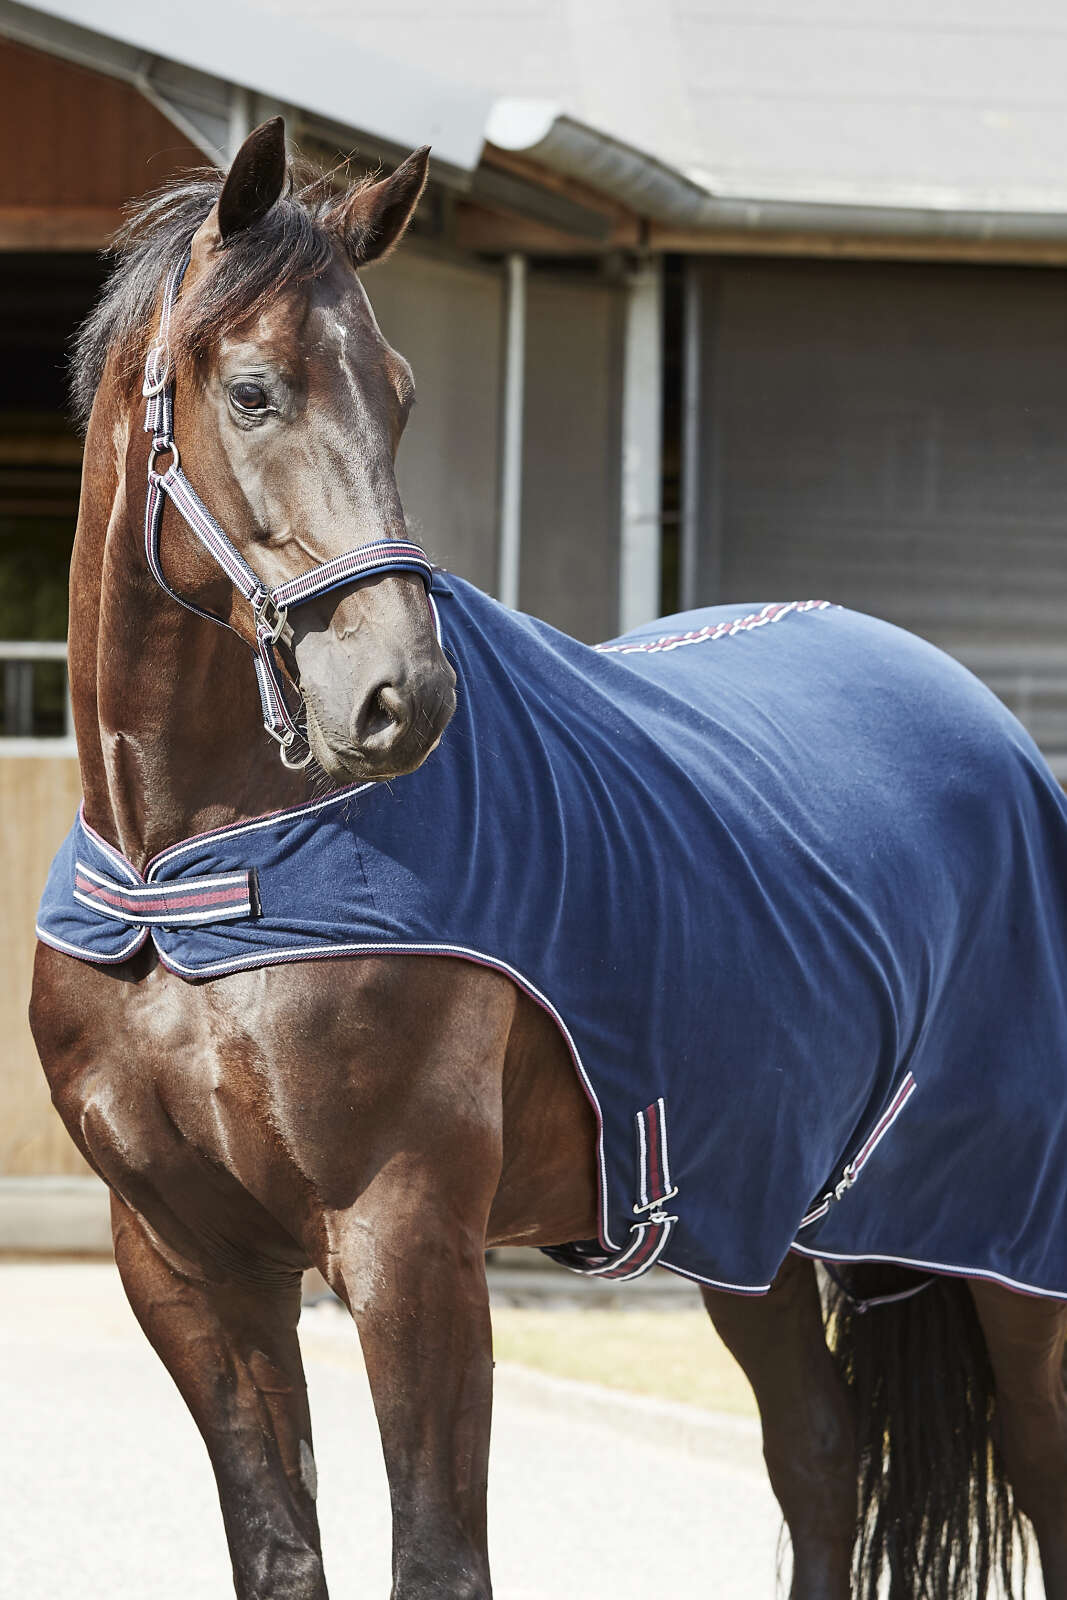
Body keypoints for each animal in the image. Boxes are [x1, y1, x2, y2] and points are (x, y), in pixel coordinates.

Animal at [28, 116, 1067, 1600]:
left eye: (400, 395)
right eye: (252, 391)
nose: (399, 698)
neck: (192, 880)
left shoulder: (409, 1246)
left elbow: (436, 1556)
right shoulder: (188, 1264)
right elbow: (282, 1554)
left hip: (1009, 1250)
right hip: (750, 1233)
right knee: (817, 1460)